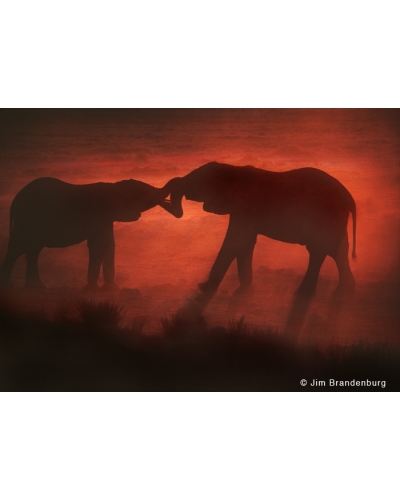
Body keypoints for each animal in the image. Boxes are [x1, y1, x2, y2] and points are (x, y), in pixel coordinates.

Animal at [0, 178, 180, 292]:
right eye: (142, 194)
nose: (178, 211)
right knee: (21, 248)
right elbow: (98, 246)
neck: (113, 187)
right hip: (28, 220)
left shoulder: (106, 219)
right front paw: (93, 290)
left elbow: (109, 245)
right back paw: (19, 286)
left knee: (29, 250)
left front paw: (111, 290)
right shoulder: (98, 216)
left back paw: (30, 286)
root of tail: (15, 201)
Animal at [164, 162, 358, 298]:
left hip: (326, 216)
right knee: (337, 251)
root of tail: (349, 198)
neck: (233, 170)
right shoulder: (242, 211)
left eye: (198, 180)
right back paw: (344, 291)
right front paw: (244, 288)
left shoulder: (245, 208)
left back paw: (304, 294)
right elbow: (245, 242)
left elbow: (235, 240)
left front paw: (204, 288)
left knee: (320, 251)